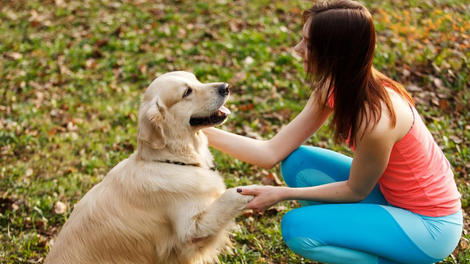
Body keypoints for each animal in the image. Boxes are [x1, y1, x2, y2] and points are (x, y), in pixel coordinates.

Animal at [45, 71, 253, 262]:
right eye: (186, 92)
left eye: (196, 79)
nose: (226, 87)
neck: (170, 161)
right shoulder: (190, 231)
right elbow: (226, 198)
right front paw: (247, 192)